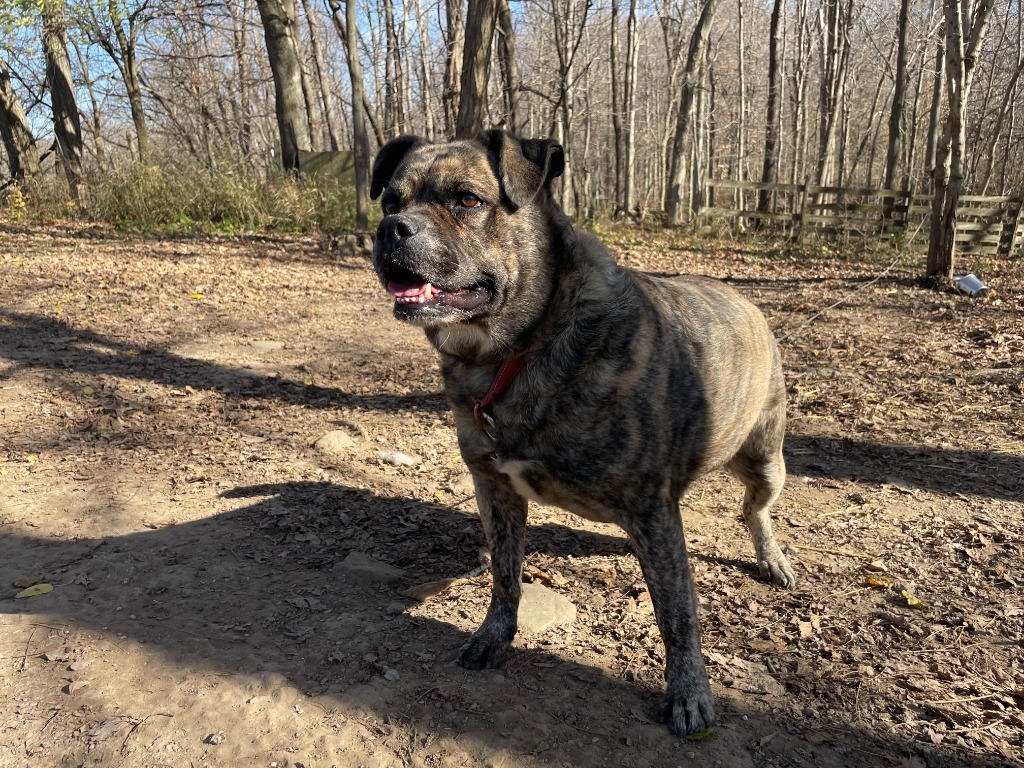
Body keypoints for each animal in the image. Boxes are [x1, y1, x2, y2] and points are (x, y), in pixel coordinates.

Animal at [364, 132, 794, 741]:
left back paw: (773, 559)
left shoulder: (652, 513)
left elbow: (678, 614)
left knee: (755, 510)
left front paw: (690, 694)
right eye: (389, 202)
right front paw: (493, 636)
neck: (522, 350)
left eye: (467, 200)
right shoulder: (497, 491)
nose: (390, 230)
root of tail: (745, 300)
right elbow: (505, 576)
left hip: (764, 459)